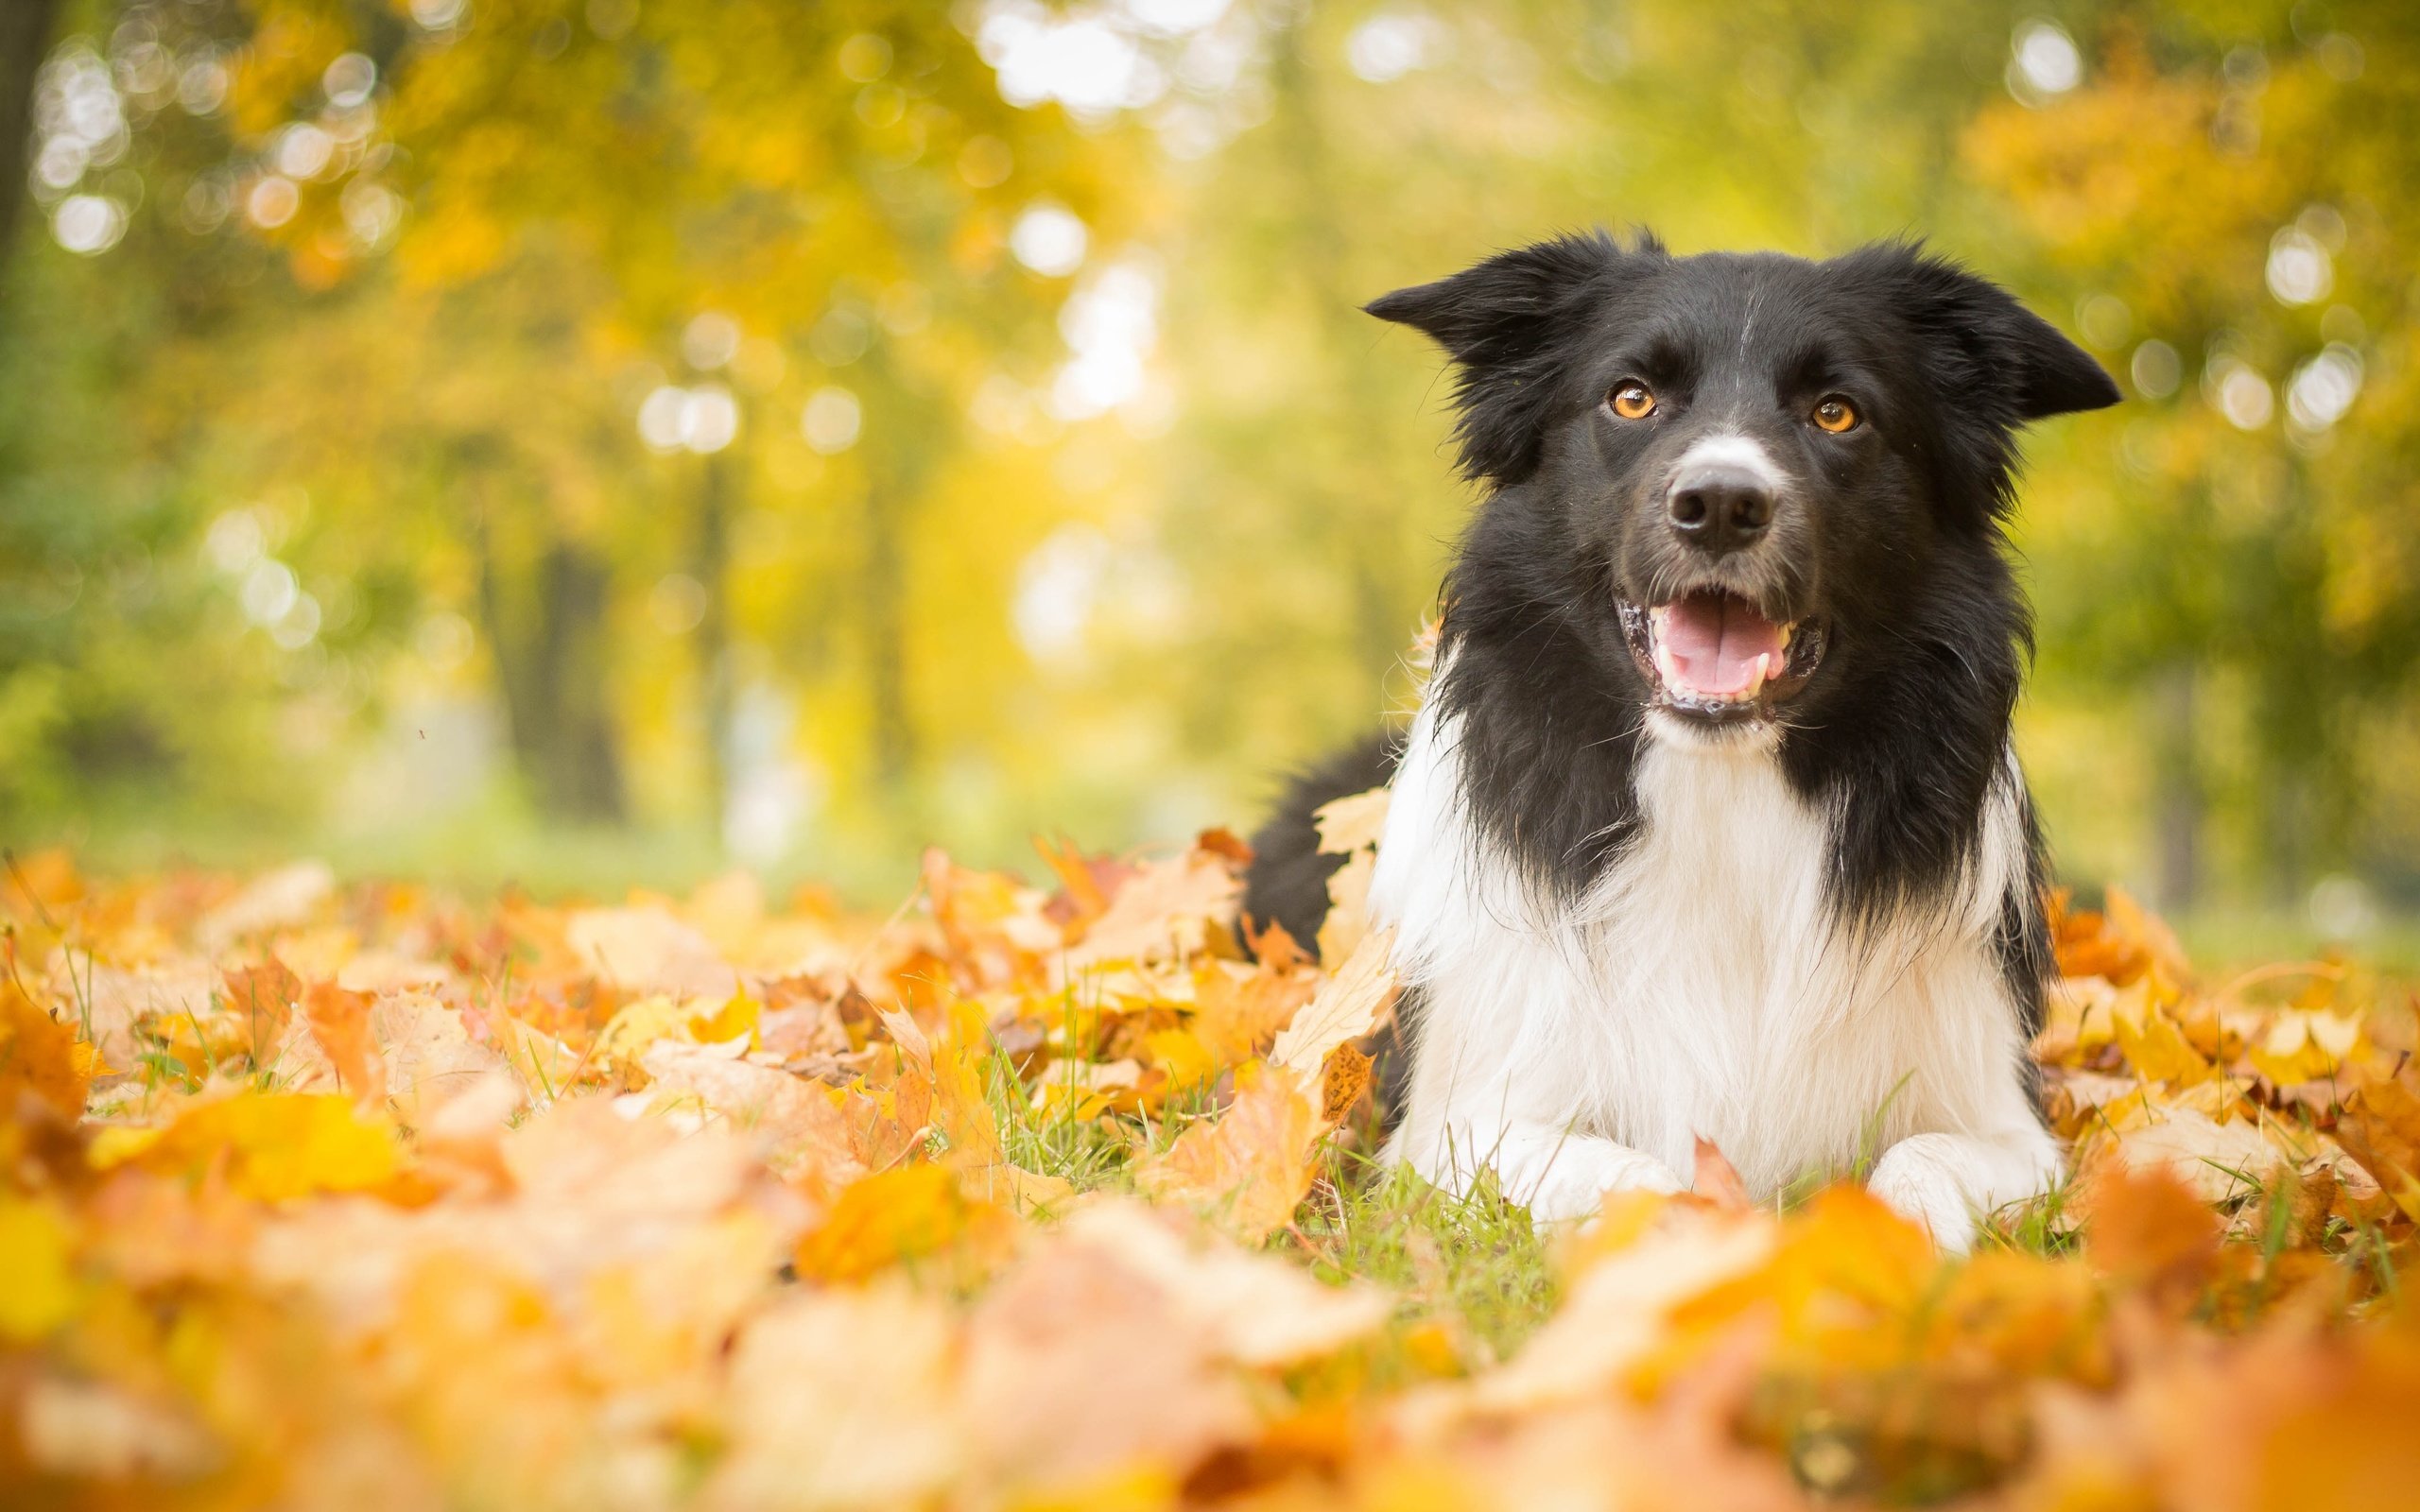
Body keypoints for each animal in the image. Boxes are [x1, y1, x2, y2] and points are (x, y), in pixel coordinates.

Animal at [1248, 230, 2119, 1247]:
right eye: (1631, 398)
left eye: (1837, 412)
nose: (1721, 504)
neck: (1722, 786)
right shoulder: (1451, 1124)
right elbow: (1637, 1176)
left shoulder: (2004, 1118)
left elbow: (1921, 1157)